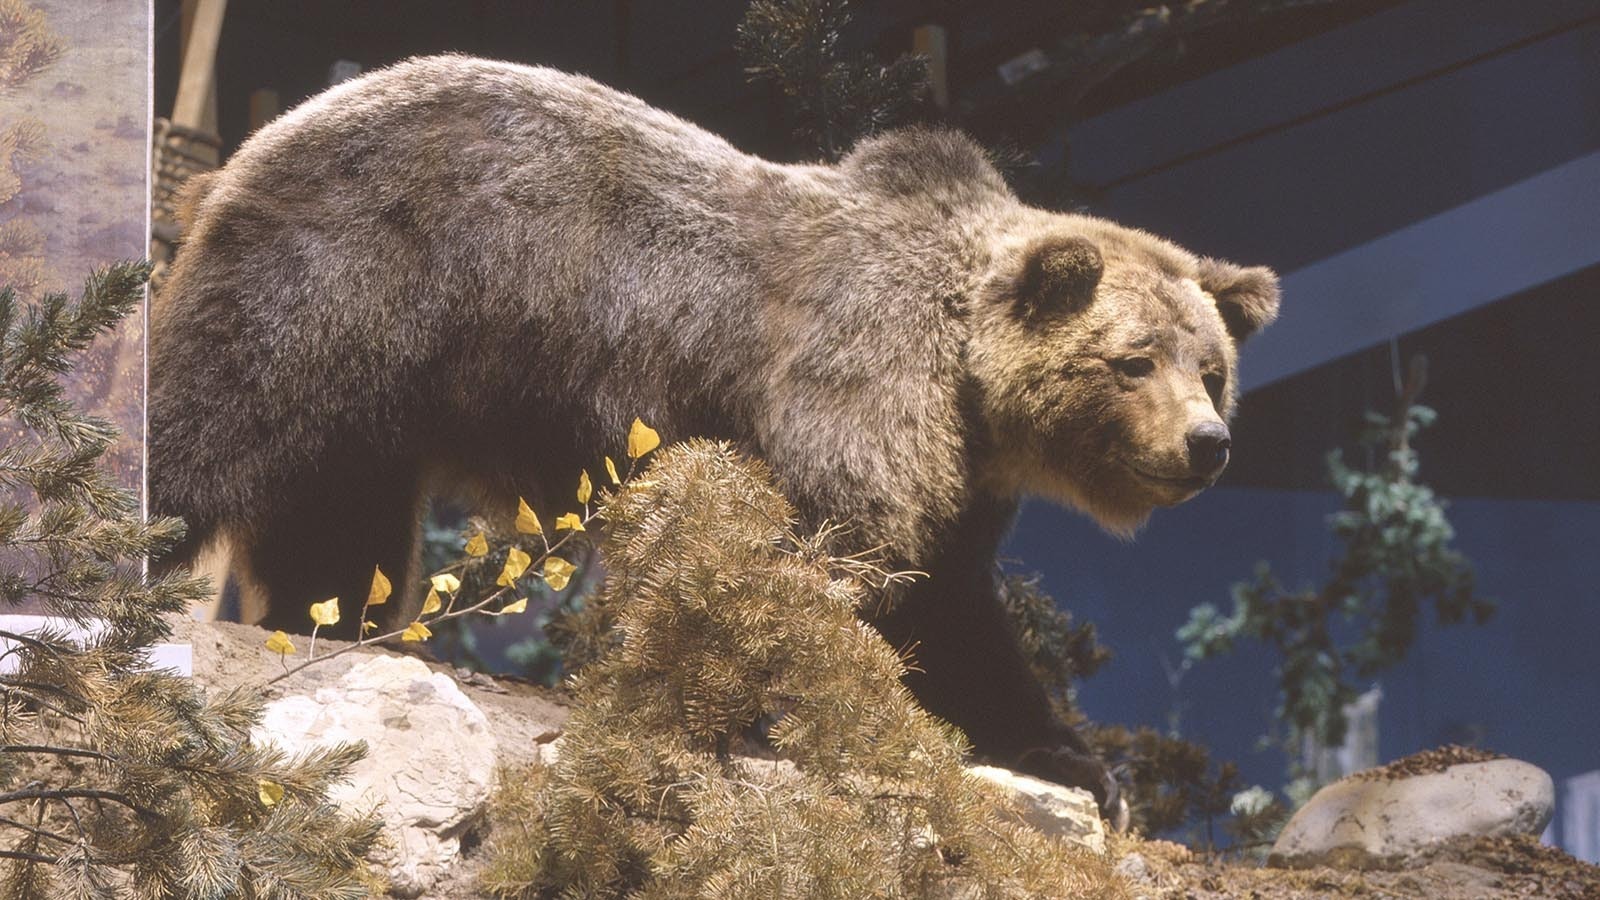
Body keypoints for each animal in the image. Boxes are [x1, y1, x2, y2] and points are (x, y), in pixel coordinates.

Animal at [150, 54, 1273, 813]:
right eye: (1135, 360)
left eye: (1212, 368)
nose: (1205, 444)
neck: (967, 388)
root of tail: (253, 142)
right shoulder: (850, 385)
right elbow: (833, 563)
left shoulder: (959, 484)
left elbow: (952, 614)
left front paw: (1078, 763)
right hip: (350, 277)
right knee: (211, 415)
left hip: (378, 391)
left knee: (337, 514)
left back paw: (335, 623)